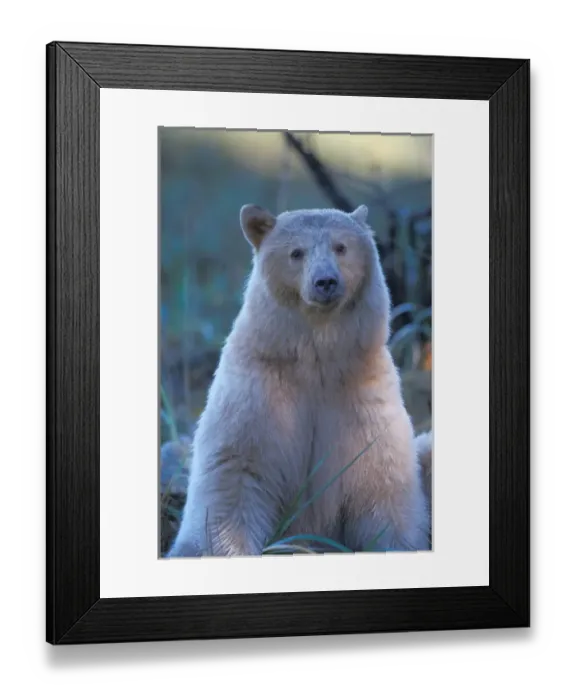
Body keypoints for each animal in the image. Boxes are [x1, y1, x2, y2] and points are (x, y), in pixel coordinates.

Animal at [167, 203, 431, 558]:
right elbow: (234, 472)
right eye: (296, 252)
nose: (325, 281)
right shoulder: (258, 392)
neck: (316, 358)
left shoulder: (364, 396)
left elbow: (382, 481)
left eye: (341, 246)